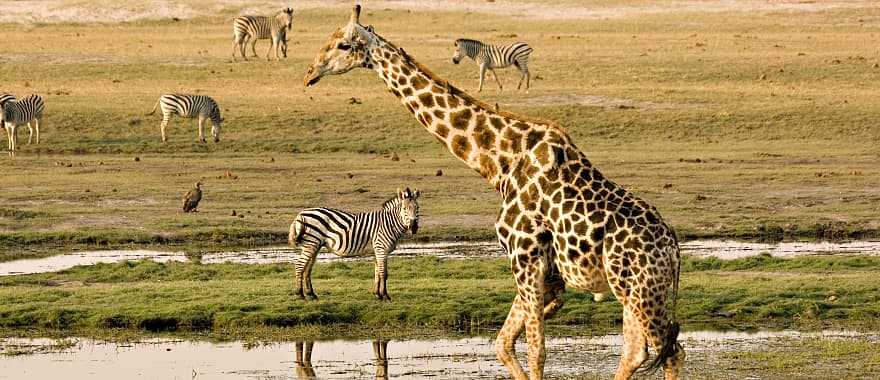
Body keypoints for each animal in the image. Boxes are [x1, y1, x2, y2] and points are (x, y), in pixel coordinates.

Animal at [288, 189, 422, 302]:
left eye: (417, 208)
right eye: (404, 208)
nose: (413, 227)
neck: (389, 223)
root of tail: (301, 214)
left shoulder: (377, 251)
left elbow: (377, 272)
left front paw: (377, 294)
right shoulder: (381, 249)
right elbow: (384, 273)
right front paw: (385, 296)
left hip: (315, 245)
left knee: (307, 268)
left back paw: (311, 294)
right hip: (311, 243)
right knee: (299, 266)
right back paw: (300, 294)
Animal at [306, 6, 684, 380]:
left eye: (342, 44)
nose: (310, 72)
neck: (499, 164)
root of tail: (673, 250)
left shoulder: (526, 257)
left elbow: (536, 353)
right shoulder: (541, 272)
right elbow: (503, 345)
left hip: (640, 290)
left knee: (669, 353)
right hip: (634, 292)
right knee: (637, 352)